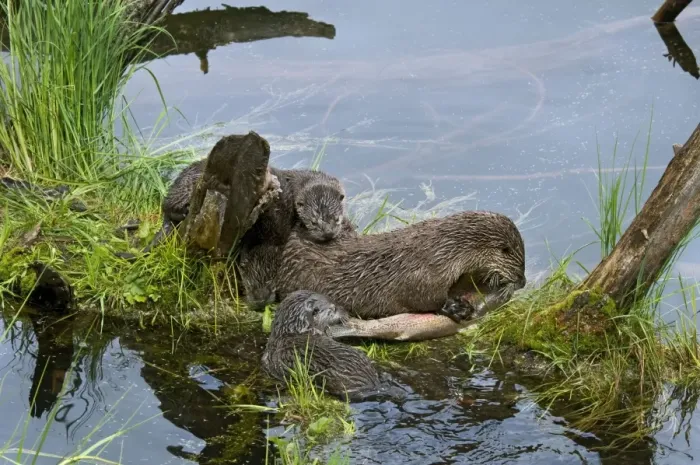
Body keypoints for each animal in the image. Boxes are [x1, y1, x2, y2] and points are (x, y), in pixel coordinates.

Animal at [275, 210, 526, 323]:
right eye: (520, 266)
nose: (523, 282)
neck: (443, 251)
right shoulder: (422, 276)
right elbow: (426, 300)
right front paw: (455, 308)